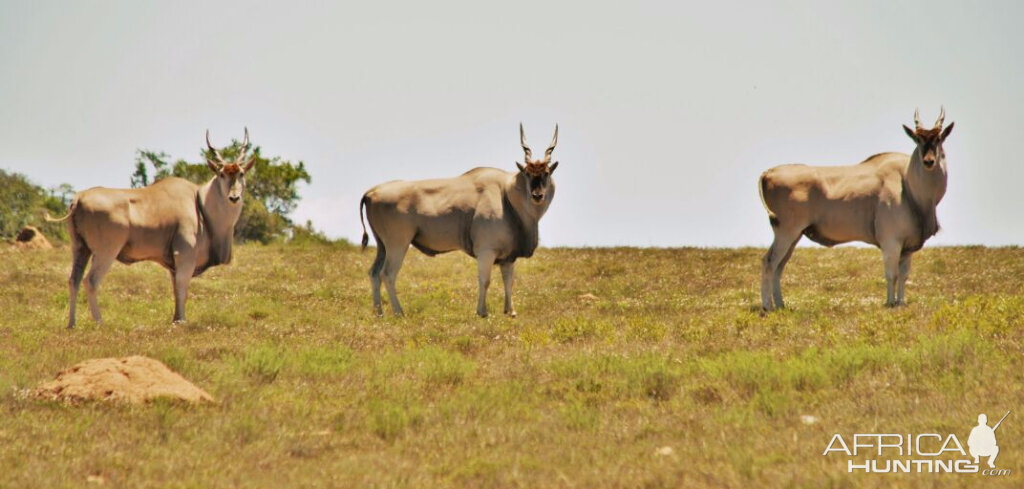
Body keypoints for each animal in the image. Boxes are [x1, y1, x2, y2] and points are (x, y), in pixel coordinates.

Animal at [48, 129, 258, 329]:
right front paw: (181, 321)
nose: (234, 197)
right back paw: (99, 322)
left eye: (241, 174)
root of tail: (78, 199)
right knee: (90, 281)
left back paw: (71, 323)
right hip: (106, 251)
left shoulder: (173, 264)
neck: (200, 204)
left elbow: (176, 288)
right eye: (222, 174)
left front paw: (175, 319)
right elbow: (182, 286)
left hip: (80, 248)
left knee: (73, 280)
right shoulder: (185, 256)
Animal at [360, 123, 561, 317]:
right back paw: (398, 312)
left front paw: (510, 311)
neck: (506, 194)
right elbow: (485, 280)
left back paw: (379, 313)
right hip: (397, 244)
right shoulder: (486, 251)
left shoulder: (508, 257)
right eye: (527, 173)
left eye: (546, 173)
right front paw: (482, 312)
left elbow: (508, 281)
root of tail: (371, 192)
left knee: (374, 273)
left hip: (382, 245)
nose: (537, 195)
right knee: (388, 274)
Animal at [761, 109, 950, 310]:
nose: (928, 161)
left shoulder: (907, 248)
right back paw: (767, 307)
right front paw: (890, 303)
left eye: (938, 139)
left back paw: (780, 305)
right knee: (769, 262)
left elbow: (903, 276)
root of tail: (768, 173)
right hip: (787, 232)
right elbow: (892, 274)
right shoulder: (890, 242)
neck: (907, 183)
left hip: (795, 235)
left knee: (779, 266)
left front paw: (901, 303)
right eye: (918, 139)